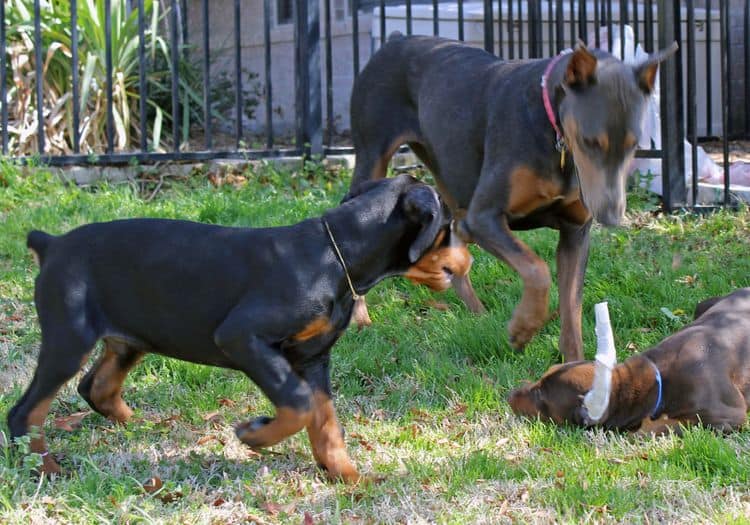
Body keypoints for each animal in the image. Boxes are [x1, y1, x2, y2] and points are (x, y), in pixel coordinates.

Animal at [7, 175, 470, 484]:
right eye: (449, 225)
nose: (469, 260)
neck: (334, 256)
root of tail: (52, 243)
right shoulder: (243, 337)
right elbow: (299, 404)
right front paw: (255, 436)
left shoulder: (313, 358)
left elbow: (326, 421)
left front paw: (347, 476)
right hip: (69, 337)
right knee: (25, 412)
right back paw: (45, 469)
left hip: (130, 337)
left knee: (96, 386)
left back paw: (141, 426)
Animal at [350, 32, 680, 360]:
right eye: (590, 141)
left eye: (634, 143)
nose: (611, 217)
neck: (554, 135)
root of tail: (397, 37)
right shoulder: (485, 216)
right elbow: (537, 269)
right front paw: (524, 327)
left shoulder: (575, 232)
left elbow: (571, 308)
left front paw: (574, 363)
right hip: (372, 155)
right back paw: (361, 317)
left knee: (455, 232)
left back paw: (477, 311)